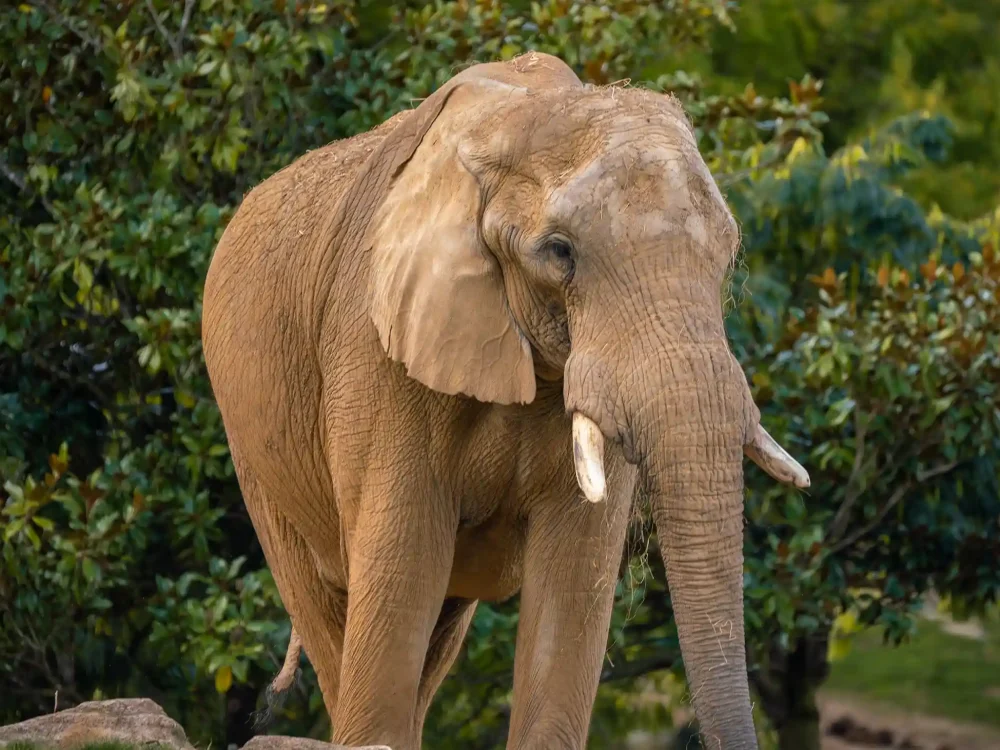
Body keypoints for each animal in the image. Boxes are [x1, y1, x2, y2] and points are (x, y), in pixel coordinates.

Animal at [201, 51, 809, 750]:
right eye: (560, 253)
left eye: (728, 253)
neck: (520, 116)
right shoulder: (377, 351)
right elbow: (398, 579)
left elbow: (570, 589)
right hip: (253, 448)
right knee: (330, 616)